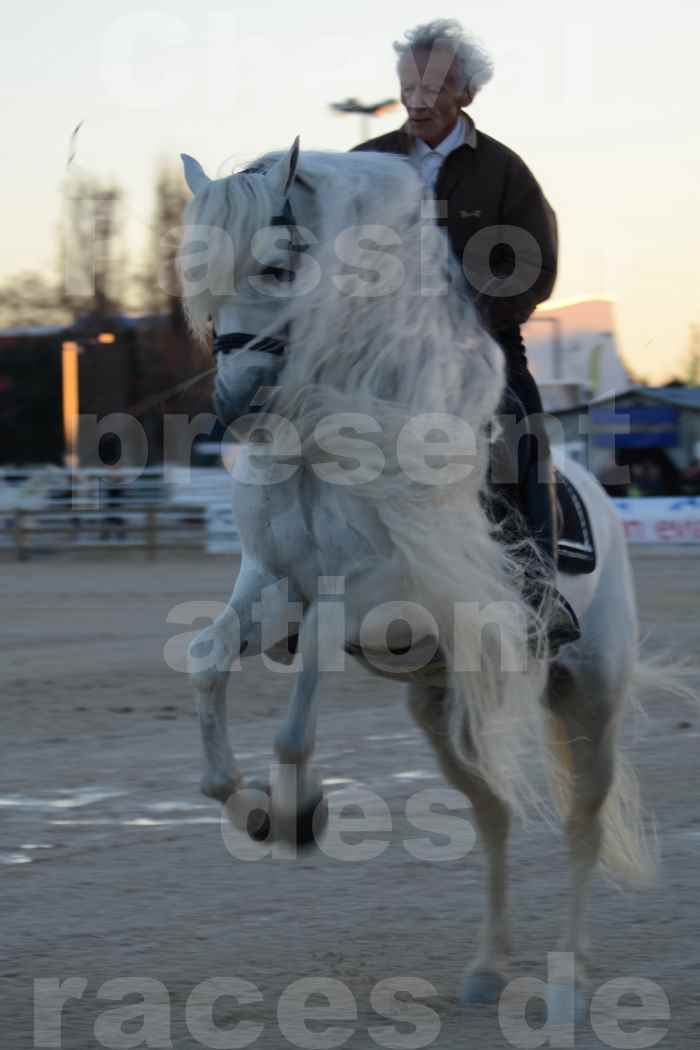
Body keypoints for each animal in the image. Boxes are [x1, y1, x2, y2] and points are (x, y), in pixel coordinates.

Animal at [176, 141, 663, 1016]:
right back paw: (487, 968)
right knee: (494, 814)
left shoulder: (381, 605)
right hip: (441, 711)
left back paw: (567, 979)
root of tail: (605, 505)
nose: (232, 407)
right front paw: (254, 809)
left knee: (583, 822)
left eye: (275, 265)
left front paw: (297, 815)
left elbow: (297, 717)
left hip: (590, 695)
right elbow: (205, 660)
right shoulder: (268, 586)